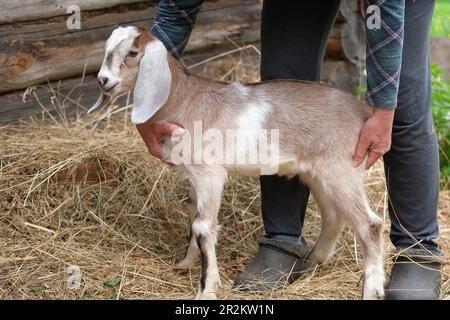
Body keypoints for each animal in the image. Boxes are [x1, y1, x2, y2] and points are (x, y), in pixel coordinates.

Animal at [89, 26, 384, 300]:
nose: (103, 81)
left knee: (370, 225)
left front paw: (207, 288)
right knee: (334, 217)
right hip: (318, 173)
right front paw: (186, 263)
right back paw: (313, 262)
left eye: (132, 53)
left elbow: (202, 226)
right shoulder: (195, 177)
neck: (185, 99)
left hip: (341, 170)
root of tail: (362, 111)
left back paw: (372, 289)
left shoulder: (210, 175)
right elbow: (193, 215)